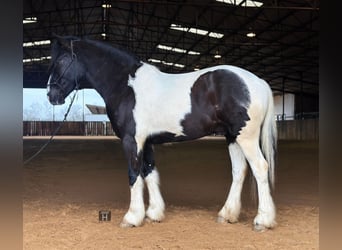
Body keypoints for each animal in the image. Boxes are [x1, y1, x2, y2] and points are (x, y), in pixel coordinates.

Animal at [46, 36, 276, 231]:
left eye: (61, 60)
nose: (51, 95)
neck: (126, 86)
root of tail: (259, 82)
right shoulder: (146, 142)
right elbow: (149, 172)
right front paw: (154, 214)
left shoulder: (132, 140)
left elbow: (134, 174)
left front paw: (132, 217)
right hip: (232, 137)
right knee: (239, 171)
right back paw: (227, 215)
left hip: (246, 137)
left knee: (260, 168)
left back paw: (262, 220)